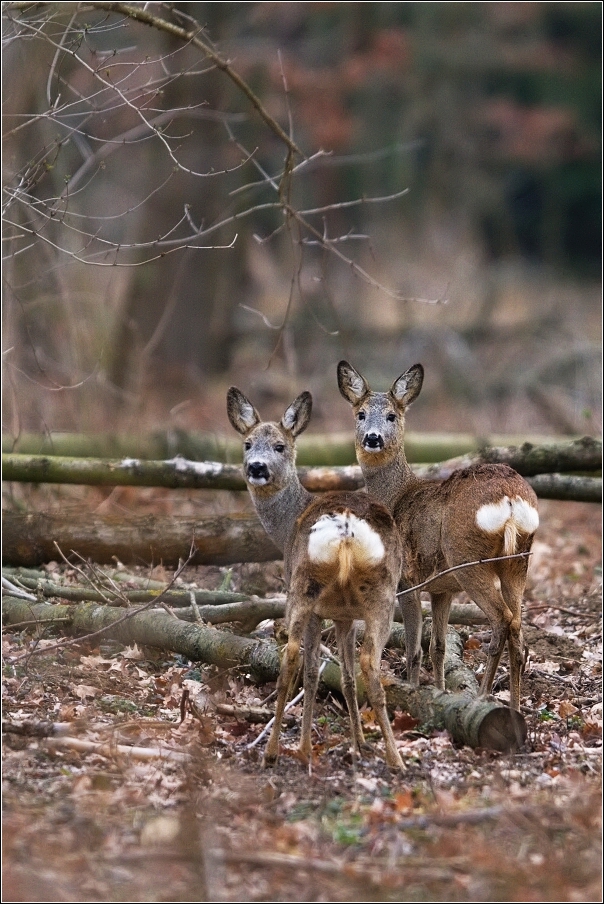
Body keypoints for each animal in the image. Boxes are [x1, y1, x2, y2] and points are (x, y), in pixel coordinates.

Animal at [228, 384, 406, 768]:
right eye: (247, 443)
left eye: (280, 446)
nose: (257, 467)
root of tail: (346, 526)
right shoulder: (342, 614)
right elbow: (345, 677)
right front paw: (358, 743)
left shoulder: (327, 612)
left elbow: (314, 673)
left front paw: (320, 744)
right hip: (376, 595)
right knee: (366, 663)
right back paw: (393, 757)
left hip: (303, 587)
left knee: (293, 656)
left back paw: (276, 750)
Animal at [338, 362, 540, 712]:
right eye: (360, 413)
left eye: (391, 415)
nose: (373, 438)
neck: (396, 497)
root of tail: (511, 500)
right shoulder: (441, 588)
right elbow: (439, 647)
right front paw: (441, 691)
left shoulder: (405, 580)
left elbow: (414, 649)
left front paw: (413, 692)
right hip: (518, 561)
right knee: (517, 626)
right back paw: (514, 708)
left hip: (468, 557)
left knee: (501, 619)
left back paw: (483, 697)